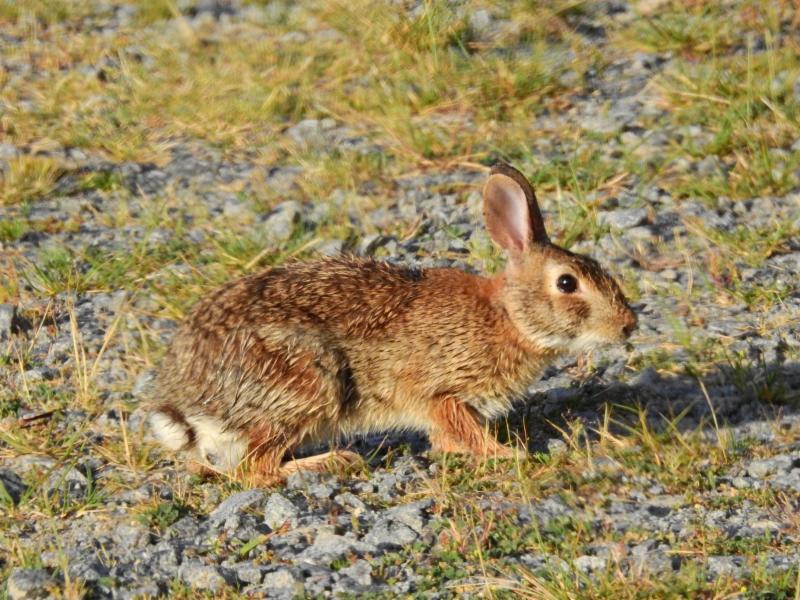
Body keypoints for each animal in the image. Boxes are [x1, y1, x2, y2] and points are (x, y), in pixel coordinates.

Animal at [148, 163, 636, 482]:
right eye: (567, 283)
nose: (628, 325)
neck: (509, 318)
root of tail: (185, 403)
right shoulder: (439, 390)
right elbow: (463, 429)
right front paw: (509, 455)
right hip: (301, 384)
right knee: (256, 469)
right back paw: (332, 462)